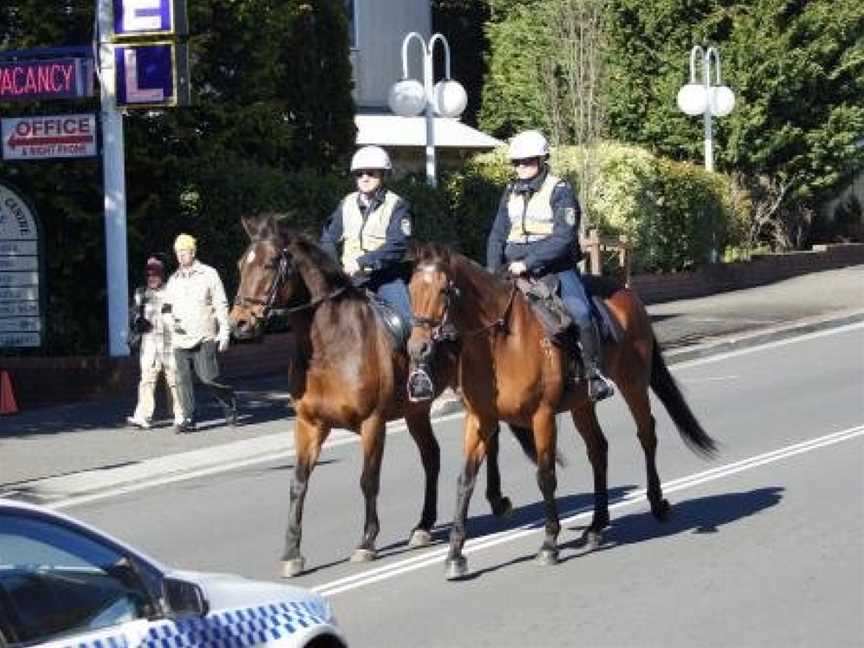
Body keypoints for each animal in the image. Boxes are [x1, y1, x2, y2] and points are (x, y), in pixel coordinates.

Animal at [228, 214, 512, 576]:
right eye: (241, 265)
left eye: (269, 263)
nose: (238, 323)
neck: (330, 345)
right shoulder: (308, 424)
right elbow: (298, 483)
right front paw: (291, 553)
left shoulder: (372, 423)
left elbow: (368, 480)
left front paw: (366, 543)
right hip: (416, 411)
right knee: (432, 456)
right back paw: (423, 525)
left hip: (471, 395)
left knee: (490, 439)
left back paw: (497, 500)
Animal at [408, 246, 720, 580]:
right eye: (410, 290)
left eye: (443, 290)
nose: (418, 349)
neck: (501, 340)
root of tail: (627, 293)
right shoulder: (481, 419)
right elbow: (465, 480)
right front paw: (455, 554)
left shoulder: (542, 416)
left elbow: (545, 476)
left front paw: (549, 543)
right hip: (582, 404)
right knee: (598, 449)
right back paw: (597, 525)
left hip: (633, 383)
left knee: (646, 434)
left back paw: (657, 503)